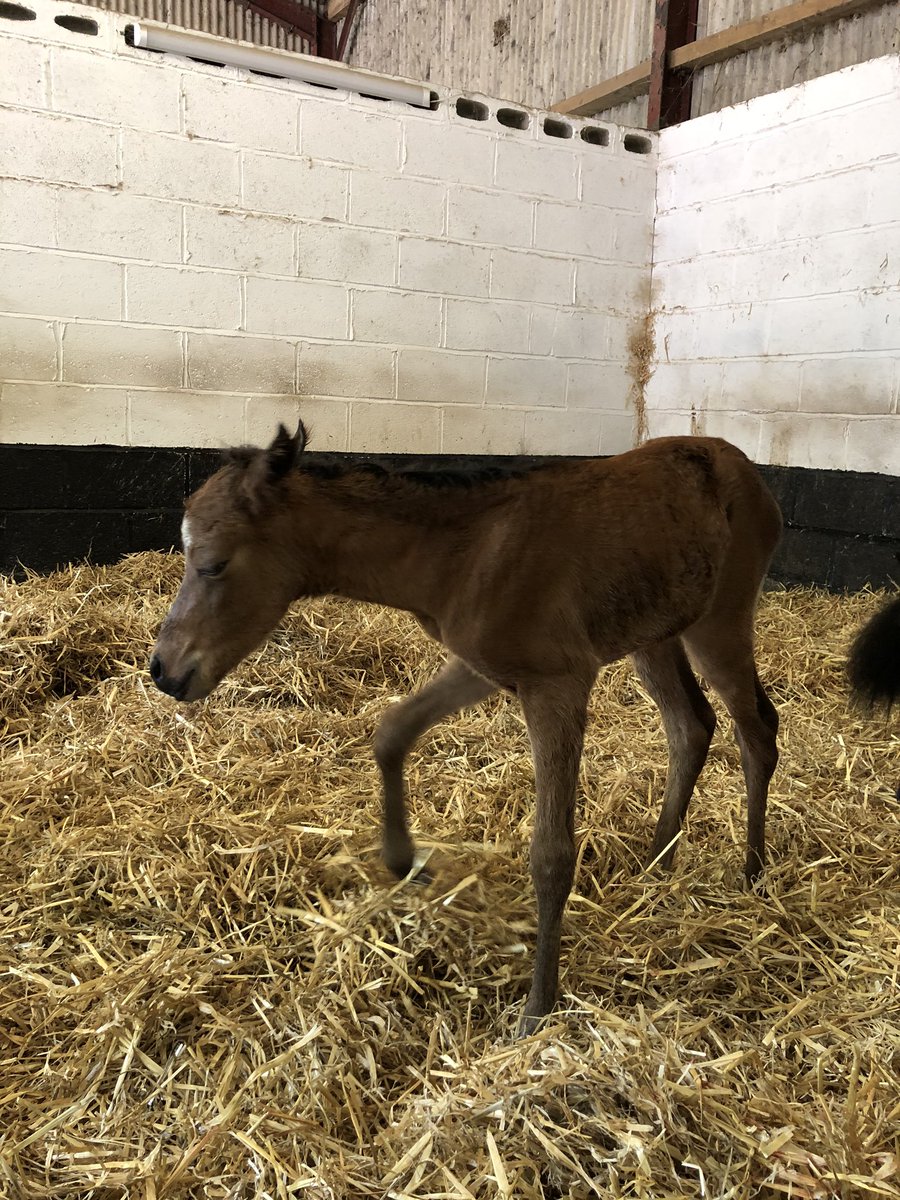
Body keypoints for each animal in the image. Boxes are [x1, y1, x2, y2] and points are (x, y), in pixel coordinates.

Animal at [150, 423, 783, 1030]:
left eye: (212, 563)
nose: (164, 671)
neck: (464, 552)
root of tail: (744, 466)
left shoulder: (558, 682)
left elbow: (551, 853)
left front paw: (539, 1007)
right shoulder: (483, 665)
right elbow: (393, 732)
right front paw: (406, 863)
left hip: (718, 623)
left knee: (756, 731)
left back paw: (751, 872)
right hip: (654, 634)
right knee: (690, 726)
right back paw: (657, 863)